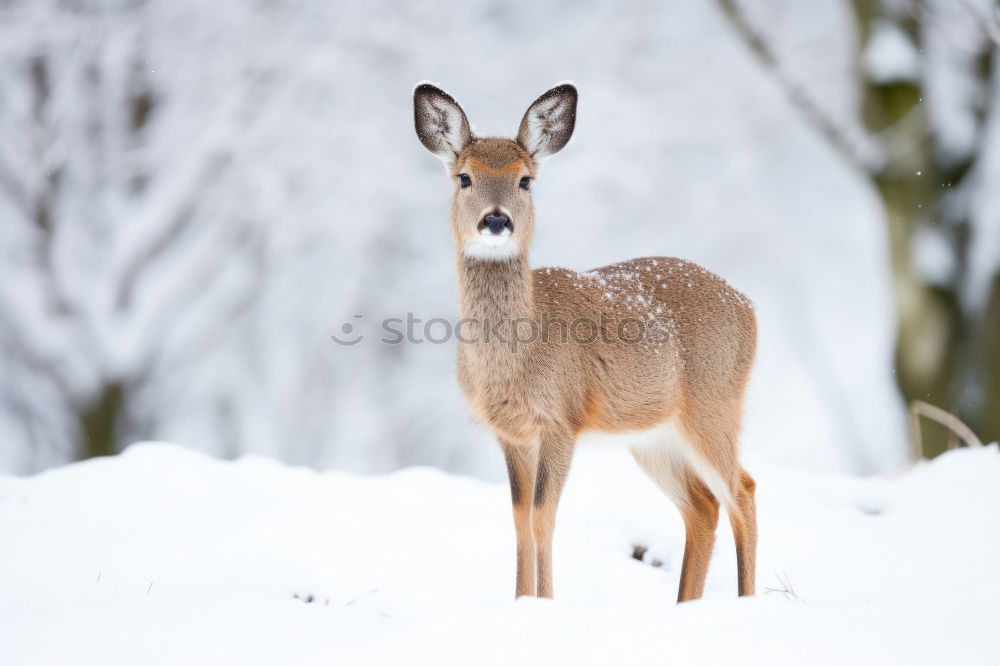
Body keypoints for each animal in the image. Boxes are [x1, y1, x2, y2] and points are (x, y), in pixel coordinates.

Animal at [412, 83, 756, 600]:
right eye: (465, 178)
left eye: (526, 181)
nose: (496, 221)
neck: (518, 356)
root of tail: (749, 307)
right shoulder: (510, 431)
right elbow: (518, 517)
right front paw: (520, 601)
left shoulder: (563, 417)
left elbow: (543, 515)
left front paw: (546, 603)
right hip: (653, 436)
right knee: (703, 506)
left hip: (713, 404)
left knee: (742, 492)